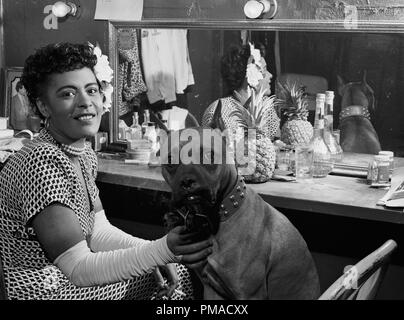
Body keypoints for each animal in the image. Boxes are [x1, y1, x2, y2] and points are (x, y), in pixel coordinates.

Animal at [159, 101, 320, 298]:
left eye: (209, 155)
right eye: (170, 161)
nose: (187, 181)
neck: (220, 214)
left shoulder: (251, 293)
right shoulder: (211, 289)